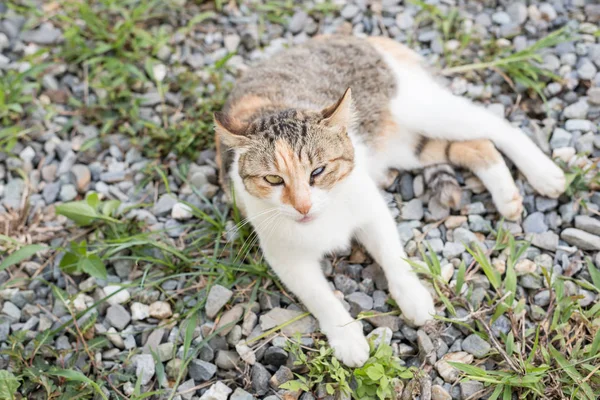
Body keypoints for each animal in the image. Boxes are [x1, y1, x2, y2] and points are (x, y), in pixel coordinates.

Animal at [213, 36, 564, 368]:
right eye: (273, 180)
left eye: (318, 171)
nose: (302, 206)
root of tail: (352, 36)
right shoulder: (284, 255)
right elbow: (320, 296)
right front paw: (347, 338)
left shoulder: (371, 209)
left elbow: (393, 256)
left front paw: (413, 297)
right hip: (406, 145)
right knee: (477, 146)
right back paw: (507, 197)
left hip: (423, 108)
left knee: (495, 126)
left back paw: (545, 174)